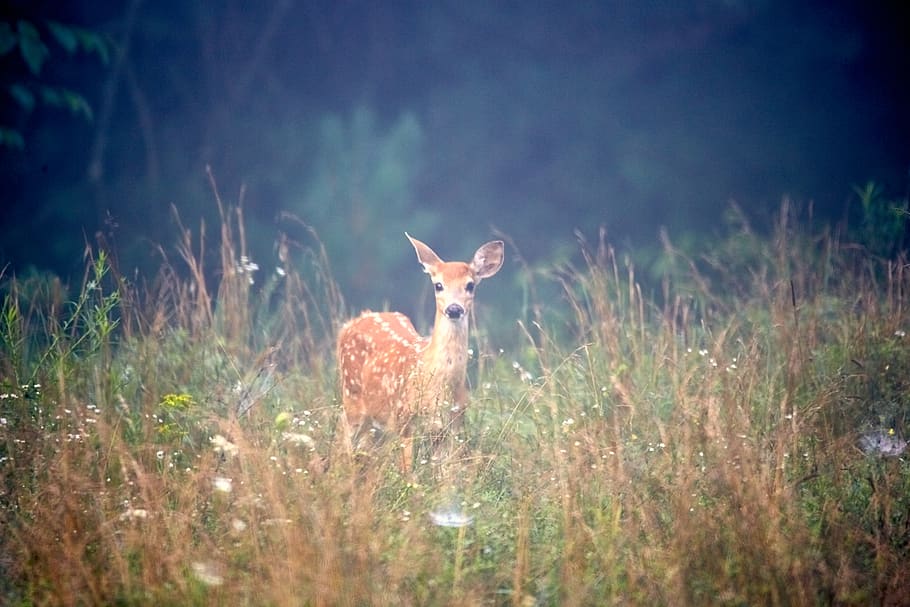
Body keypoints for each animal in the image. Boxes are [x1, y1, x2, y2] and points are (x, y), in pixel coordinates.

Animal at [337, 233, 504, 471]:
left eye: (470, 285)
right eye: (438, 285)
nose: (454, 309)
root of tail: (351, 323)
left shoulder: (450, 427)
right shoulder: (404, 421)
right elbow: (408, 473)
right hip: (352, 397)